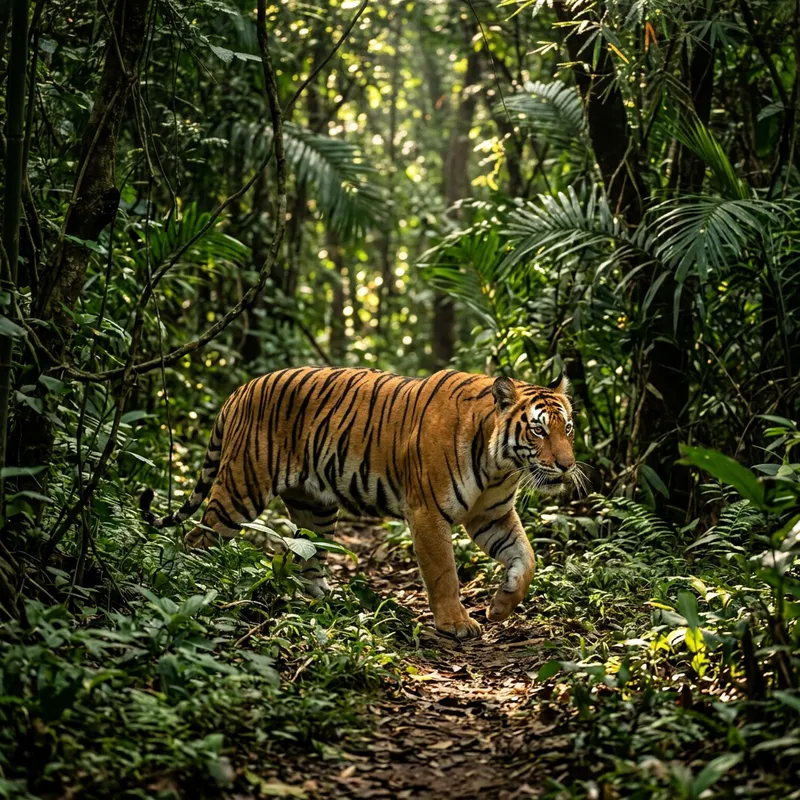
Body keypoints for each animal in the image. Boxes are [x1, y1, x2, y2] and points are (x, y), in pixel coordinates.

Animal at [140, 367, 577, 640]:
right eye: (538, 430)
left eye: (568, 428)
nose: (568, 465)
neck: (500, 465)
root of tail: (240, 390)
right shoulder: (428, 512)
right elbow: (444, 573)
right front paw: (455, 622)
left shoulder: (493, 516)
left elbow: (526, 558)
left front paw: (501, 606)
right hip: (240, 488)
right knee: (198, 539)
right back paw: (193, 585)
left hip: (314, 508)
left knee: (306, 558)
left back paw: (328, 604)